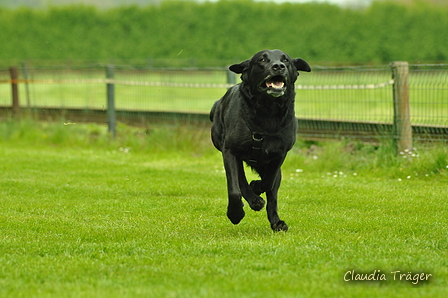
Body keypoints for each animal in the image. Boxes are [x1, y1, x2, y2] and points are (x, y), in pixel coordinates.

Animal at [211, 49, 312, 232]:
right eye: (262, 60)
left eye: (286, 60)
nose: (278, 66)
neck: (268, 111)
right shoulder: (230, 151)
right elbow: (235, 188)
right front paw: (235, 213)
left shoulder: (279, 155)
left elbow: (268, 182)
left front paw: (257, 186)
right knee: (240, 180)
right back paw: (254, 201)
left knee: (272, 193)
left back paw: (276, 221)